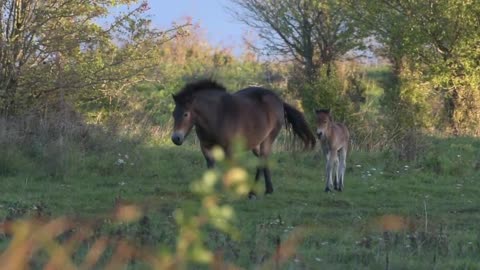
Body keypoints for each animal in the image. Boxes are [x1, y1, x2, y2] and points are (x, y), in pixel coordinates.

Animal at [171, 79, 316, 196]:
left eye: (185, 114)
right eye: (173, 114)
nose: (175, 138)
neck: (217, 114)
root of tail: (279, 101)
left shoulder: (229, 150)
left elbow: (229, 170)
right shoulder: (206, 147)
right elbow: (211, 167)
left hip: (267, 140)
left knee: (262, 160)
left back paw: (253, 193)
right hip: (255, 144)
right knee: (264, 161)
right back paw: (268, 190)